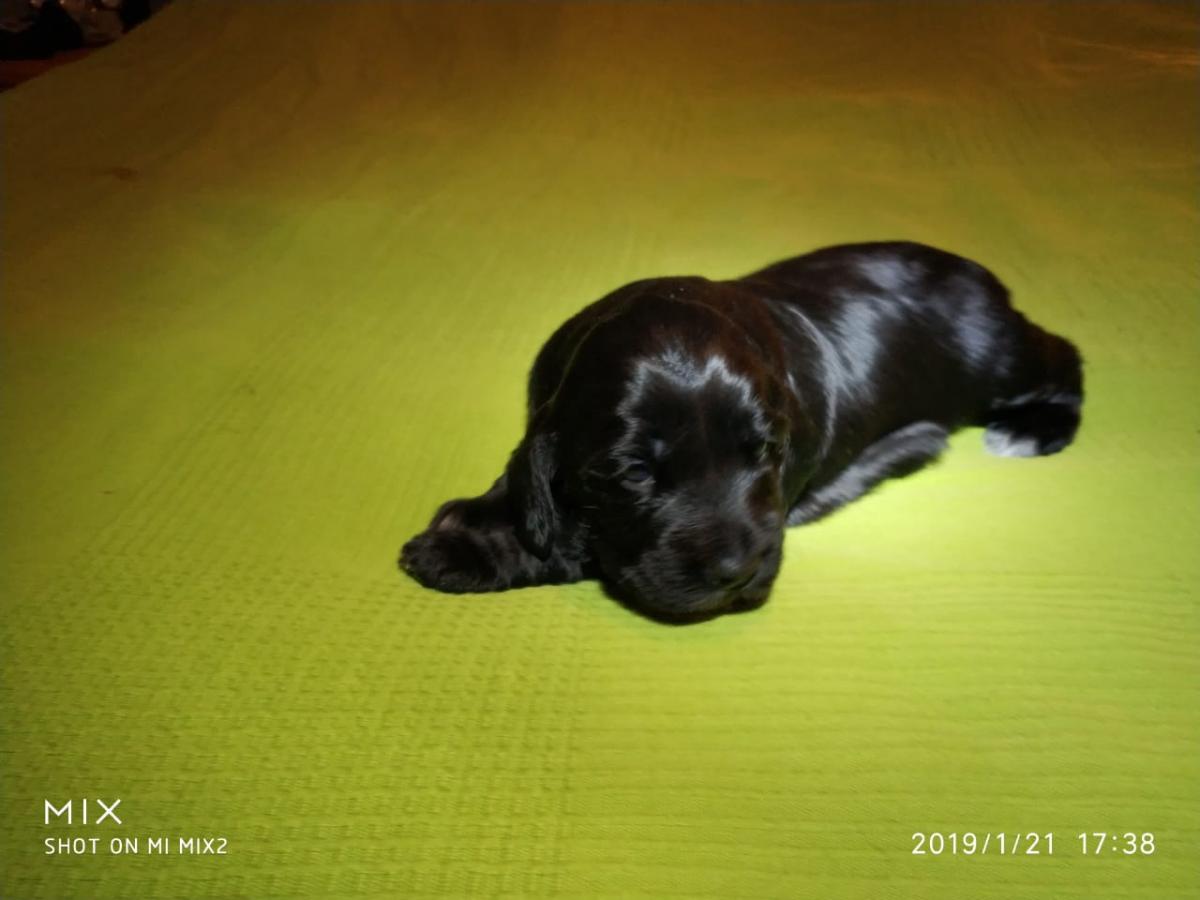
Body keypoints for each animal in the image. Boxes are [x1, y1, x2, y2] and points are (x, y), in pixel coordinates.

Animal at [400, 241, 1083, 622]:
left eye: (766, 453)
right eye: (634, 473)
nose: (736, 570)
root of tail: (982, 275)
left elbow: (573, 541)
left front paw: (466, 549)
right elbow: (526, 486)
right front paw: (467, 532)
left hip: (998, 362)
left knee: (1063, 354)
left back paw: (1031, 430)